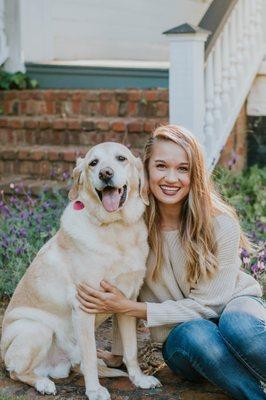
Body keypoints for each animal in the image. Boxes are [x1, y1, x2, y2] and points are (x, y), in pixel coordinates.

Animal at [1, 143, 161, 400]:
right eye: (93, 163)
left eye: (121, 158)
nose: (105, 174)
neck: (115, 229)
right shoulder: (83, 306)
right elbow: (90, 357)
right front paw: (94, 391)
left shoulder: (125, 301)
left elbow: (131, 349)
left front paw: (139, 379)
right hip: (36, 329)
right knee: (17, 372)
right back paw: (43, 383)